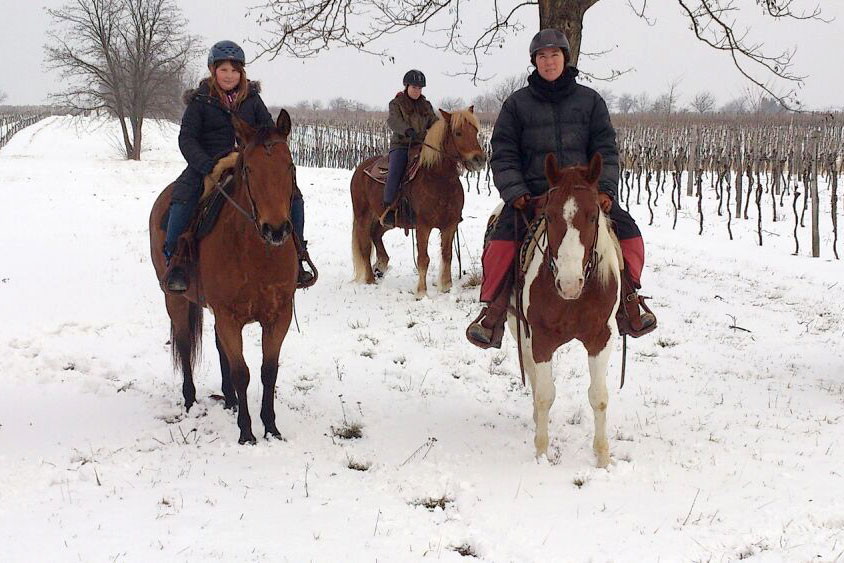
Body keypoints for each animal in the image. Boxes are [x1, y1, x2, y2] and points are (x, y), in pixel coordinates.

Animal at [148, 110, 296, 446]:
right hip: (174, 299)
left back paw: (229, 400)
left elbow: (269, 371)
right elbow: (242, 371)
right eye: (250, 169)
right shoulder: (229, 315)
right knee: (185, 345)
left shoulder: (278, 316)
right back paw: (190, 400)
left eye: (290, 165)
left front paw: (271, 427)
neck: (256, 252)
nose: (276, 229)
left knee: (218, 347)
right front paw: (246, 433)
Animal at [350, 107, 484, 298]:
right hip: (363, 216)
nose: (479, 160)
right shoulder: (423, 226)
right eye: (458, 133)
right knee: (365, 246)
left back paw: (381, 265)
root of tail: (361, 169)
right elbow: (423, 258)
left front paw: (446, 286)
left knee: (375, 235)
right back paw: (370, 279)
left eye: (476, 131)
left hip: (386, 220)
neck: (439, 180)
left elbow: (447, 255)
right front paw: (421, 292)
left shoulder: (450, 225)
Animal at [504, 152, 624, 470]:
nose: (569, 284)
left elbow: (599, 397)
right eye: (549, 215)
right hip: (518, 329)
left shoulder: (600, 338)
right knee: (534, 378)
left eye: (593, 215)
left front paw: (603, 459)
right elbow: (545, 394)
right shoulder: (541, 339)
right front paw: (541, 455)